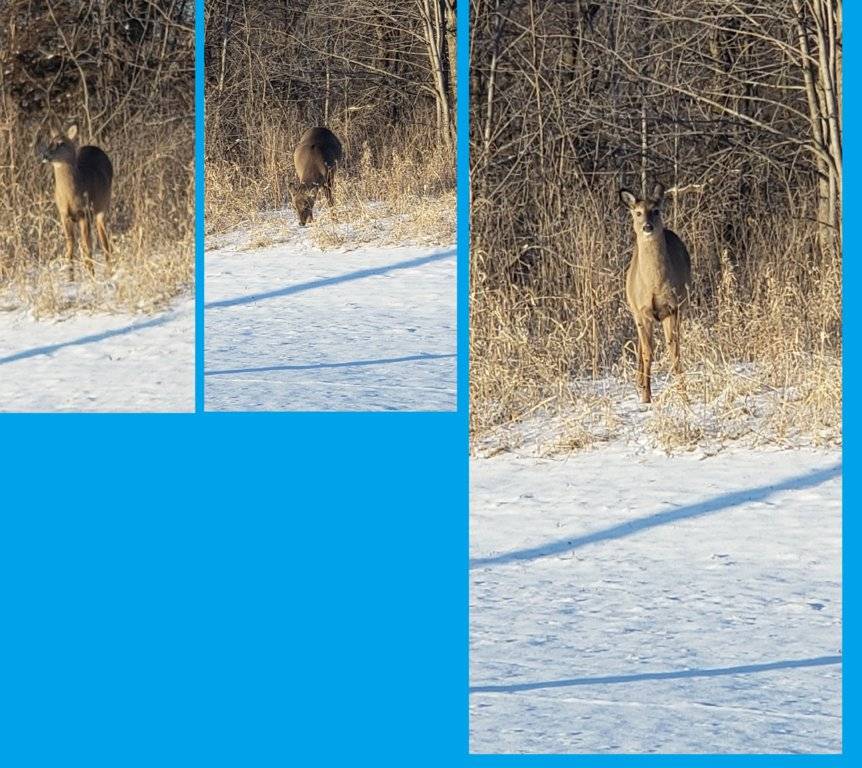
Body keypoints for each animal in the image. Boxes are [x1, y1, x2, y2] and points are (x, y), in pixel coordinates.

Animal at [38, 122, 113, 280]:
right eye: (50, 141)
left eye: (61, 143)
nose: (45, 155)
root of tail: (93, 147)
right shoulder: (64, 215)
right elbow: (70, 245)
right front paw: (70, 277)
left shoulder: (83, 213)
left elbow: (87, 245)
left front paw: (91, 275)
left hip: (102, 207)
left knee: (104, 239)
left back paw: (110, 271)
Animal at [619, 182, 692, 404]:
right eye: (638, 212)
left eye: (656, 210)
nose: (647, 227)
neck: (654, 284)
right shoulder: (643, 311)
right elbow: (648, 353)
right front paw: (646, 397)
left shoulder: (673, 308)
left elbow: (674, 350)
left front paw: (684, 394)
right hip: (634, 310)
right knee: (641, 346)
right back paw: (639, 383)